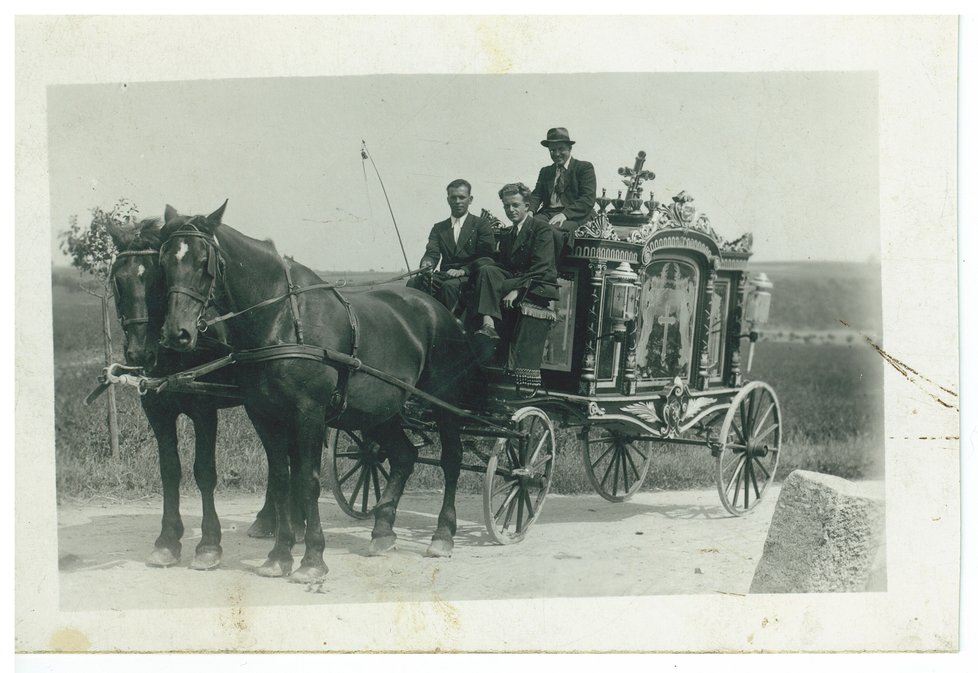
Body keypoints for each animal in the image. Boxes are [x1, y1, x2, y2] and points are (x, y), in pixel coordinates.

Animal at [108, 218, 288, 568]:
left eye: (158, 280)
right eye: (118, 280)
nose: (139, 353)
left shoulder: (204, 412)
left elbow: (204, 472)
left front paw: (209, 543)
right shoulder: (157, 412)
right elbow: (169, 471)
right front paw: (167, 540)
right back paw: (267, 521)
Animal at [158, 202, 482, 580]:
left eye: (202, 262)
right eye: (165, 261)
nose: (176, 333)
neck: (282, 319)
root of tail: (441, 312)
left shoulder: (308, 412)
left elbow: (308, 482)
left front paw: (312, 558)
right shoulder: (263, 414)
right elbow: (281, 479)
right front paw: (279, 555)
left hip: (444, 403)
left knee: (451, 460)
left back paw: (443, 535)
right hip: (382, 410)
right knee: (404, 456)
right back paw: (382, 531)